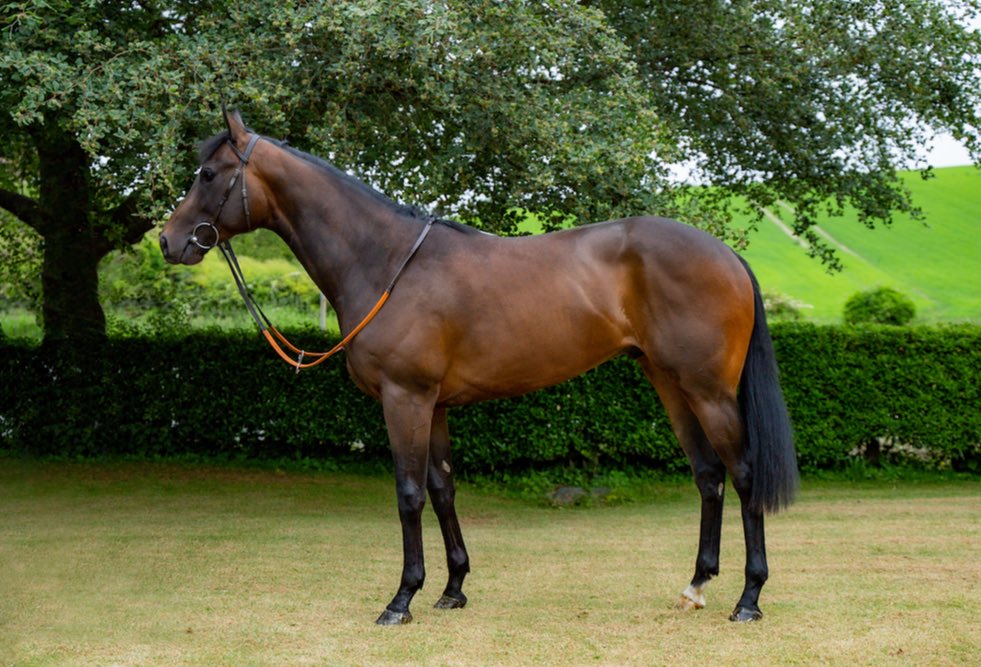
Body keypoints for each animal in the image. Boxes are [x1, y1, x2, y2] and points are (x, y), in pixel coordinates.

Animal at [160, 108, 799, 625]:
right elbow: (443, 489)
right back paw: (695, 587)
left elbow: (409, 493)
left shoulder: (406, 398)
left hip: (708, 389)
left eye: (209, 174)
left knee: (743, 473)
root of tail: (726, 254)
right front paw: (452, 589)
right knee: (708, 474)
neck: (385, 261)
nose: (169, 242)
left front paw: (402, 600)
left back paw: (749, 599)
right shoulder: (435, 404)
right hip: (668, 382)